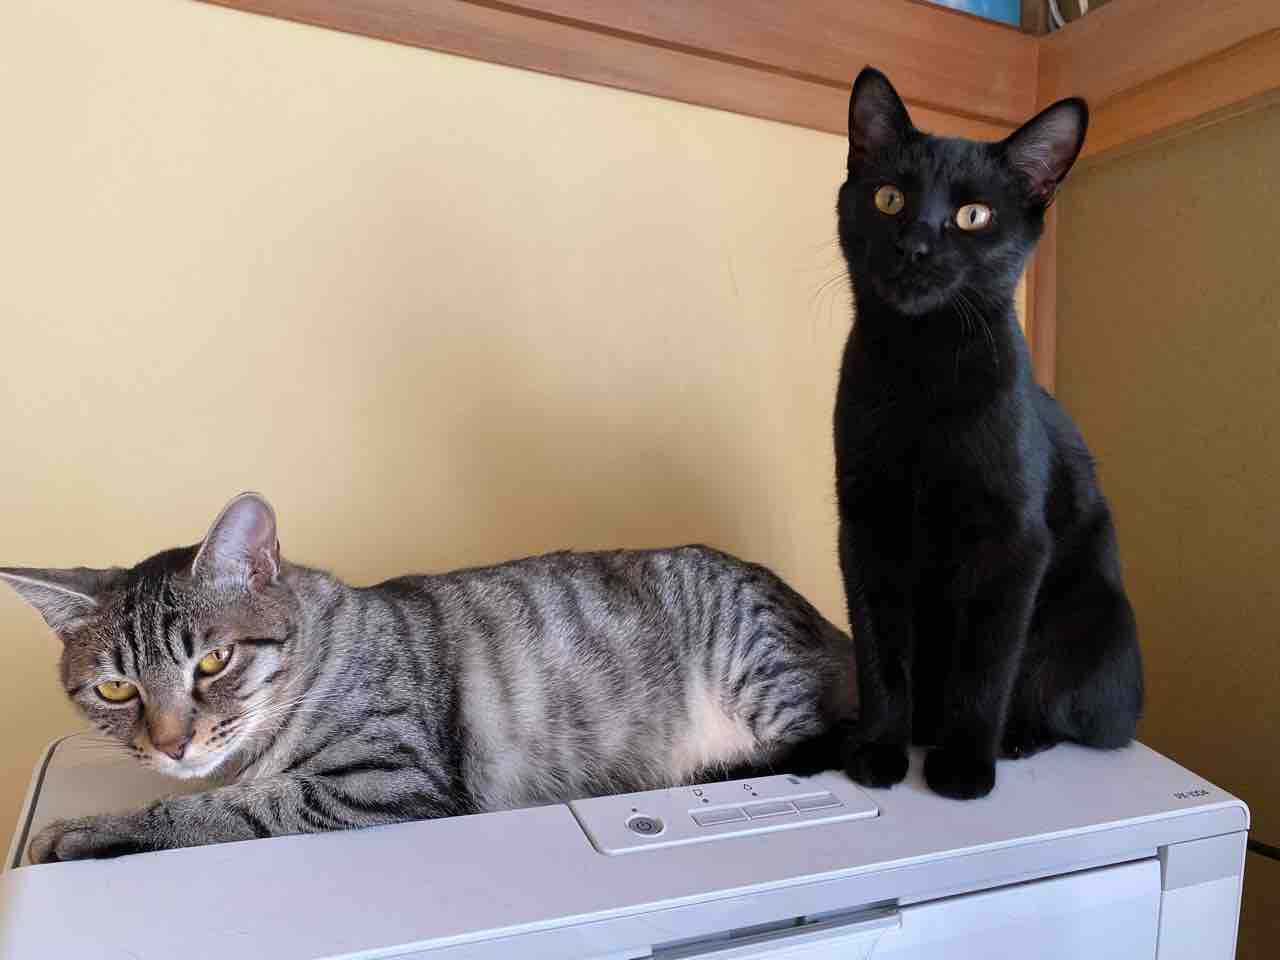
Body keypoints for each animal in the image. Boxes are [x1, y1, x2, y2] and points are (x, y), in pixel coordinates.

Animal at [1, 492, 858, 862]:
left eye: (212, 661)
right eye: (117, 689)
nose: (172, 744)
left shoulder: (384, 780)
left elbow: (226, 809)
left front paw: (87, 830)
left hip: (758, 667)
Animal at [832, 67, 1143, 800]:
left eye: (973, 215)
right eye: (889, 198)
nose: (914, 244)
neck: (921, 369)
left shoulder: (1014, 543)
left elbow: (985, 664)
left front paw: (964, 765)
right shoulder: (868, 527)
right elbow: (880, 651)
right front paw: (880, 745)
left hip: (1088, 627)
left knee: (1068, 709)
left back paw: (1011, 738)